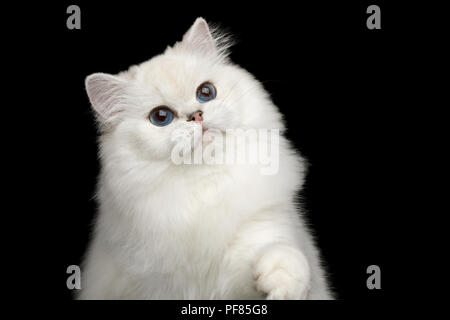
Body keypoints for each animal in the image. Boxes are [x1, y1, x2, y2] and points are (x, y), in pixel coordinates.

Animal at [80, 17, 334, 298]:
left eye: (206, 92)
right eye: (161, 117)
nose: (196, 115)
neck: (205, 183)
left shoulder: (263, 230)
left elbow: (280, 253)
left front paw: (280, 282)